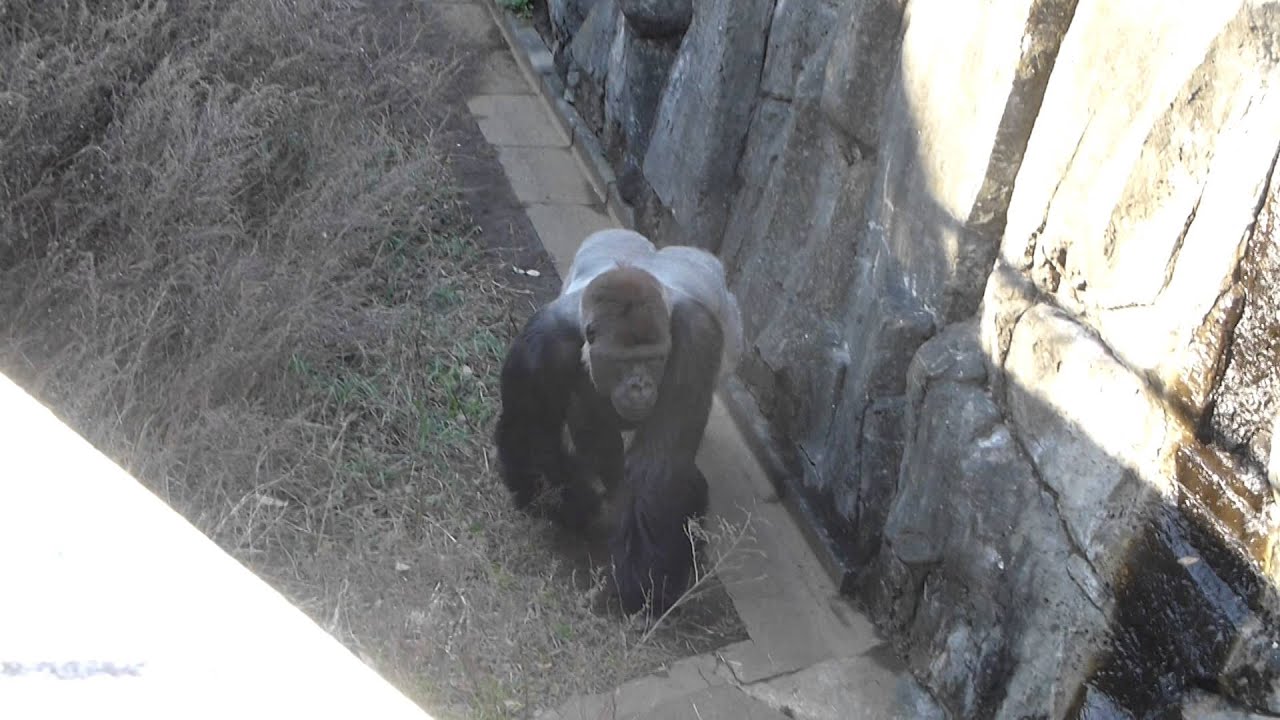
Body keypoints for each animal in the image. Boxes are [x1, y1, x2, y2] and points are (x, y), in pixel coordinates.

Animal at [494, 228, 743, 614]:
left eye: (654, 359)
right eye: (622, 362)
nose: (640, 386)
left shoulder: (696, 337)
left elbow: (660, 467)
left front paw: (645, 583)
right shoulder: (540, 344)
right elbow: (533, 439)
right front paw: (580, 504)